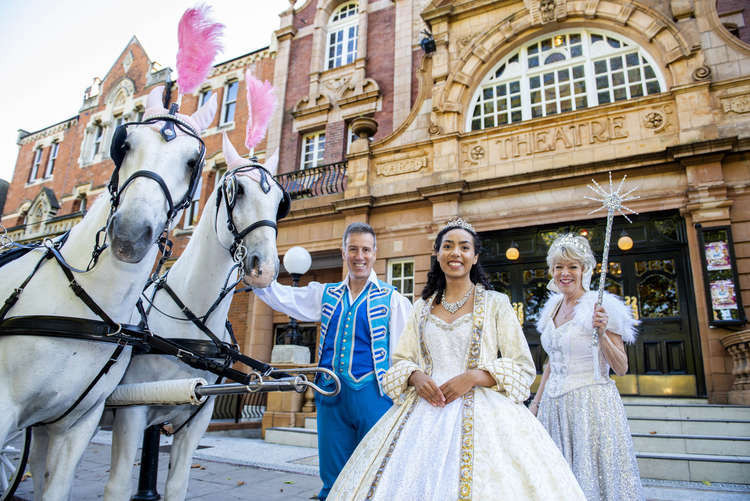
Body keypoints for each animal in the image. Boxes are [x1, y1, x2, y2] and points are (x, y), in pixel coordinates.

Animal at [103, 133, 284, 500]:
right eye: (236, 191)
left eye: (279, 201)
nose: (265, 268)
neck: (192, 321)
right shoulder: (131, 410)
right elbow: (117, 484)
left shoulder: (198, 414)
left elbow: (177, 485)